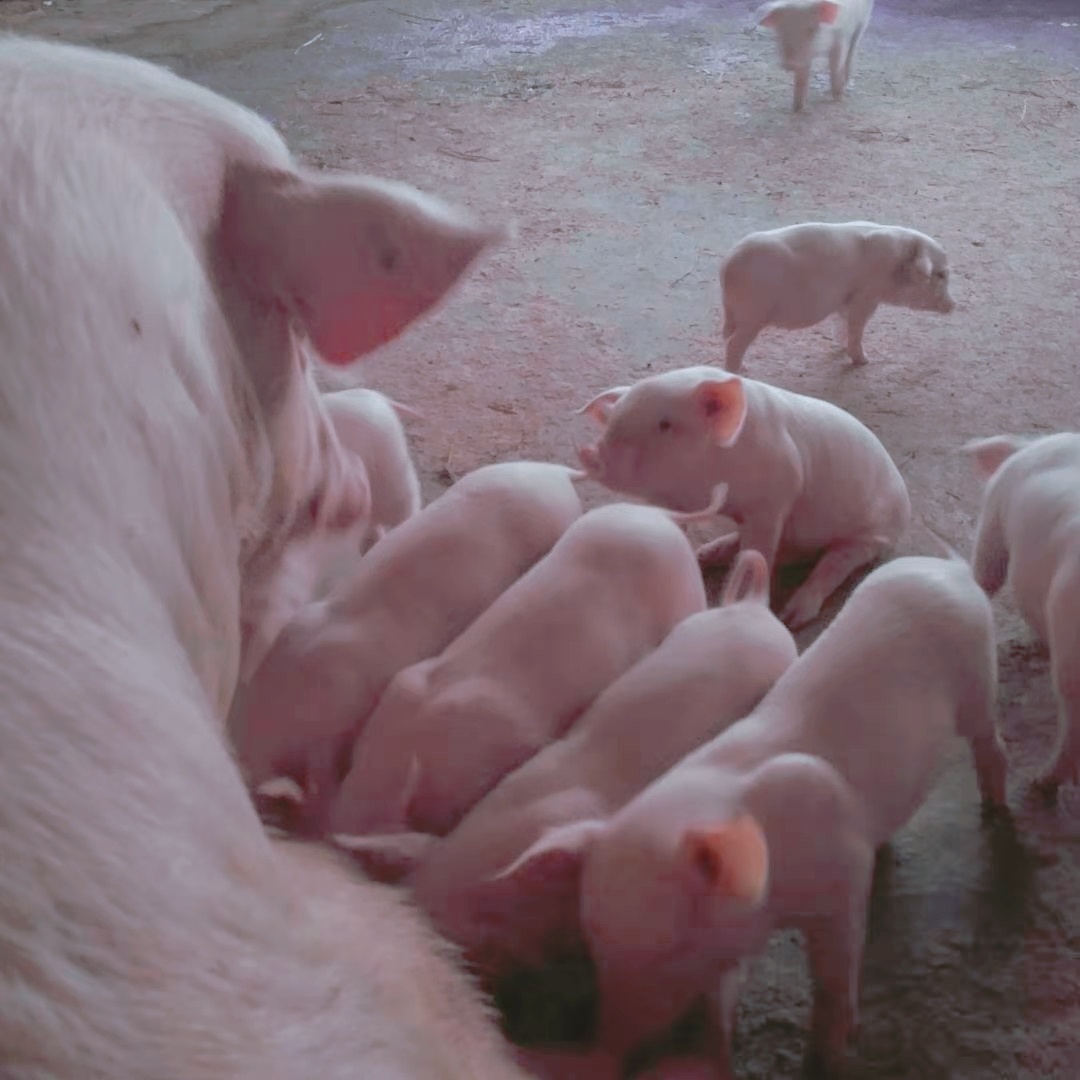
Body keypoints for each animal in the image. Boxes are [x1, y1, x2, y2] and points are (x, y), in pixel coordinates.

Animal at [513, 554, 1008, 1076]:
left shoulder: (844, 876)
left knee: (991, 744)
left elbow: (835, 973)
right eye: (595, 942)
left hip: (978, 677)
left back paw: (997, 810)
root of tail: (951, 569)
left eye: (675, 945)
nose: (607, 1047)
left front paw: (829, 1056)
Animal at [576, 365, 911, 630]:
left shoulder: (775, 497)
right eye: (615, 418)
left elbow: (759, 550)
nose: (590, 453)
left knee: (834, 564)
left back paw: (792, 617)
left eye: (665, 425)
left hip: (870, 536)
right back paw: (706, 554)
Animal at [719, 221, 955, 372]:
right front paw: (864, 361)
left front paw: (841, 349)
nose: (953, 305)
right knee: (733, 345)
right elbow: (856, 328)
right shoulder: (865, 296)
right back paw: (740, 371)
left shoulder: (845, 300)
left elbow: (842, 323)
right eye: (940, 274)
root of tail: (727, 265)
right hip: (753, 315)